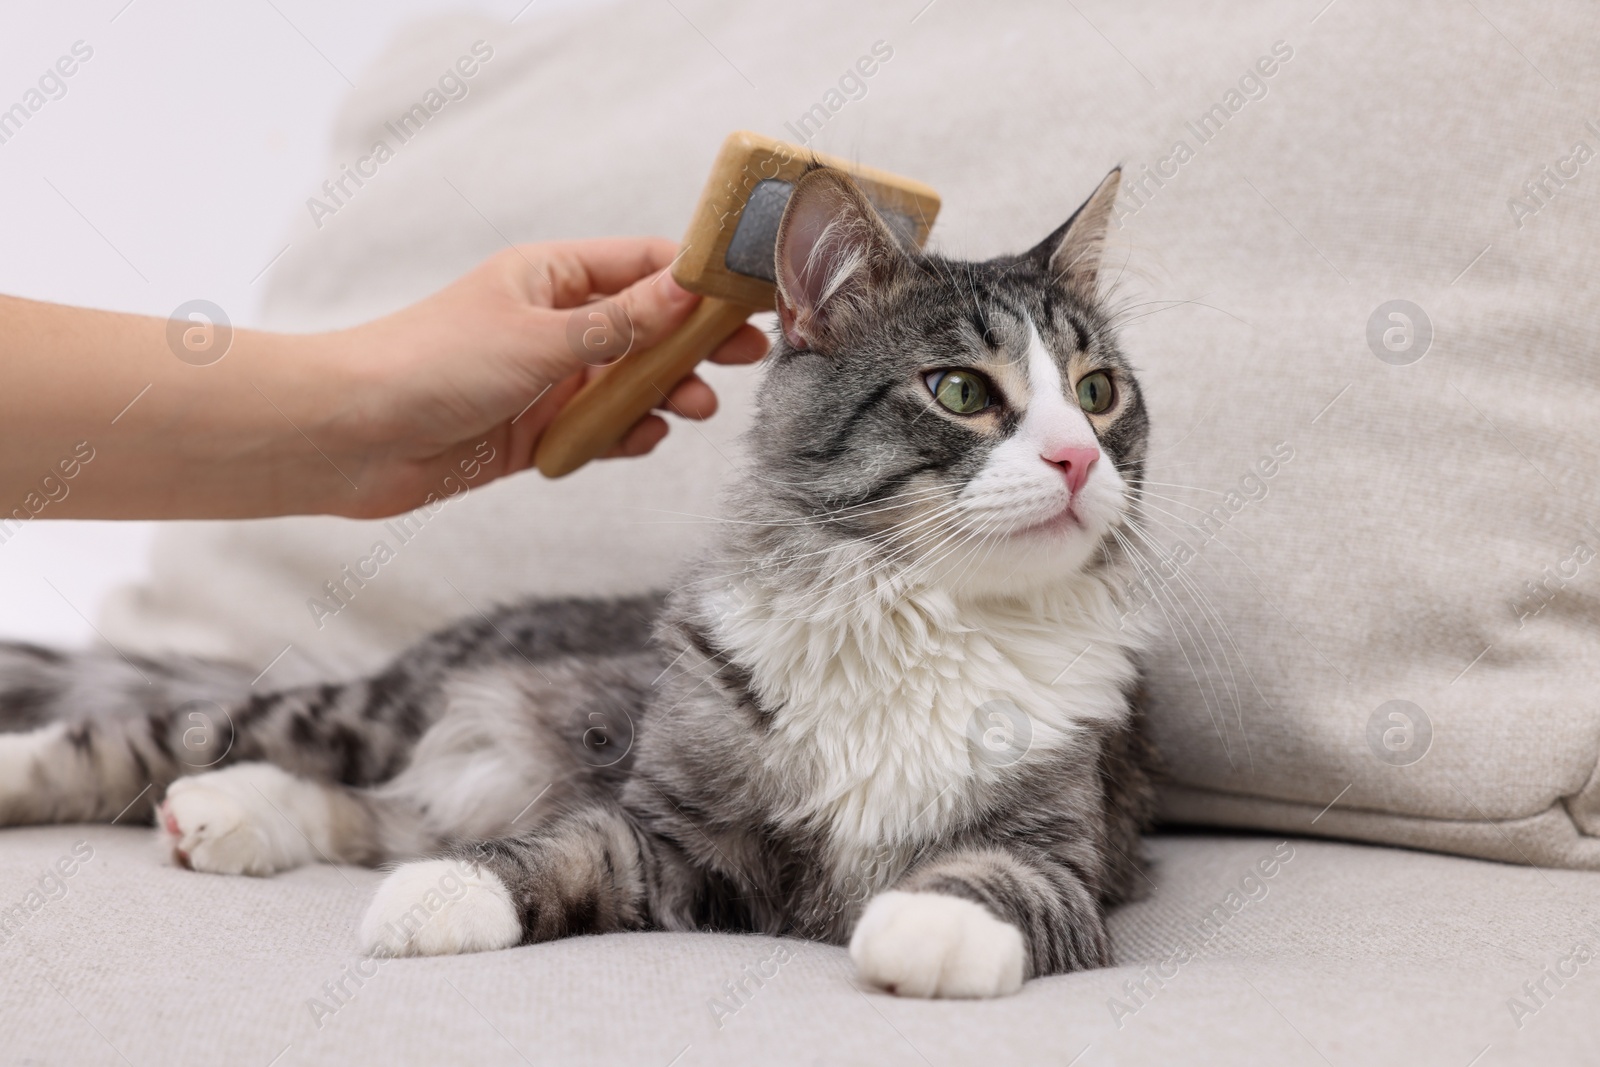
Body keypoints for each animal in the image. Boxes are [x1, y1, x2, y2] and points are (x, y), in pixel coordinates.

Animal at [0, 163, 1164, 998]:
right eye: (960, 390)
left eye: (1098, 392)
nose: (1076, 459)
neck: (918, 613)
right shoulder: (679, 833)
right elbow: (567, 847)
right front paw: (447, 893)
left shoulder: (1065, 848)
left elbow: (997, 881)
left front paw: (927, 923)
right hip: (380, 707)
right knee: (180, 733)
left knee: (372, 809)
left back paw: (227, 819)